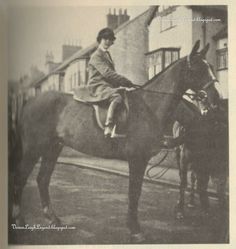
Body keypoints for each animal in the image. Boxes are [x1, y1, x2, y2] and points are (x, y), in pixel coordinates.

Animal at [11, 40, 219, 241]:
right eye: (198, 68)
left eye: (211, 67)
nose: (215, 100)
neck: (148, 106)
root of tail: (29, 102)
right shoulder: (137, 159)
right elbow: (134, 193)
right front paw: (135, 229)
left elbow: (135, 192)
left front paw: (133, 226)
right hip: (33, 149)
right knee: (21, 179)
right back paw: (19, 220)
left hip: (53, 148)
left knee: (42, 179)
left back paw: (53, 218)